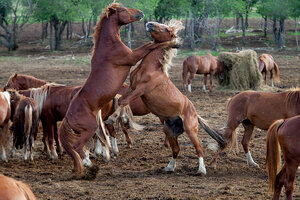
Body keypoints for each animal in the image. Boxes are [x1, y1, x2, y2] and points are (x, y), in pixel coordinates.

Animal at [106, 19, 226, 174]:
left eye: (167, 29)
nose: (149, 23)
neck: (151, 69)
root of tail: (195, 113)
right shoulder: (132, 86)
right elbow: (121, 100)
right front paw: (118, 118)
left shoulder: (141, 90)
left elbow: (124, 101)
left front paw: (112, 118)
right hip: (170, 131)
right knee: (176, 149)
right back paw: (169, 167)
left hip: (190, 131)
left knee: (199, 149)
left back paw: (201, 170)